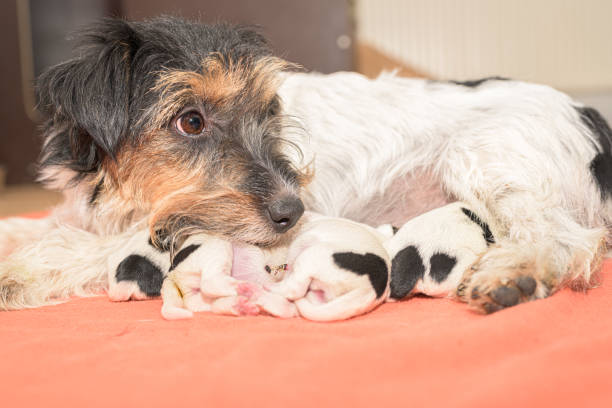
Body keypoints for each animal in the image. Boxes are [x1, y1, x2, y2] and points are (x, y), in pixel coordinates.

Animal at [0, 16, 608, 312]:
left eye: (269, 110)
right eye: (190, 120)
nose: (292, 213)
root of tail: (588, 115)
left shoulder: (176, 224)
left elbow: (77, 247)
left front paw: (19, 274)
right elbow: (35, 227)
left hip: (485, 158)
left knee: (567, 239)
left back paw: (515, 273)